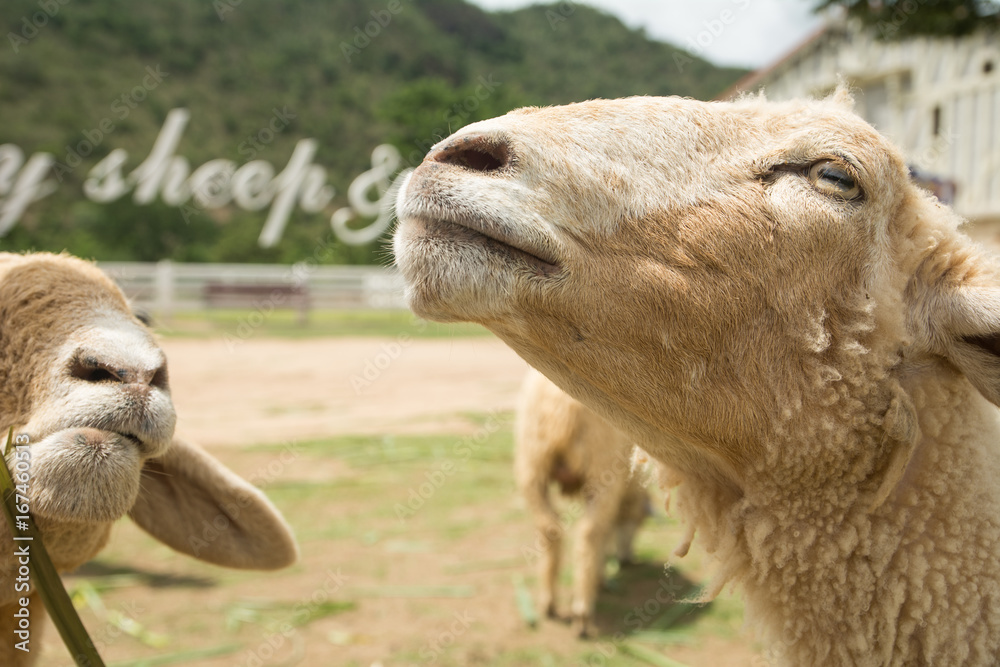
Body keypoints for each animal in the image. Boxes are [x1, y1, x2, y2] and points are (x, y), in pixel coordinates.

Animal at [516, 368, 649, 638]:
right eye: (640, 522)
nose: (627, 560)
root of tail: (560, 404)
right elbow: (605, 534)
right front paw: (602, 578)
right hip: (601, 470)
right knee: (589, 535)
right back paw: (583, 613)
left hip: (531, 467)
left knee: (550, 529)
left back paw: (548, 603)